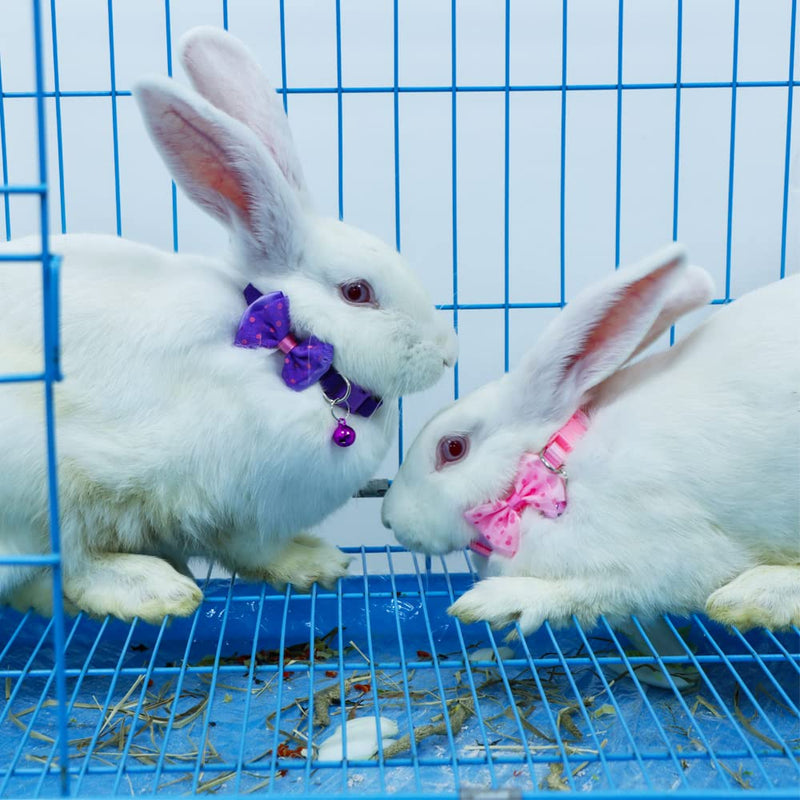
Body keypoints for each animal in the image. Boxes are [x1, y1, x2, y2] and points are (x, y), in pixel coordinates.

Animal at [0, 26, 456, 624]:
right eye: (357, 293)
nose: (448, 352)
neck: (288, 345)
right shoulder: (239, 510)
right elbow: (254, 551)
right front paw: (315, 562)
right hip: (37, 487)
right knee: (61, 569)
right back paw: (154, 589)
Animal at [382, 243, 800, 645]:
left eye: (452, 448)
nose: (388, 517)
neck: (557, 470)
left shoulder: (665, 559)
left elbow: (589, 590)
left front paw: (492, 602)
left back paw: (748, 596)